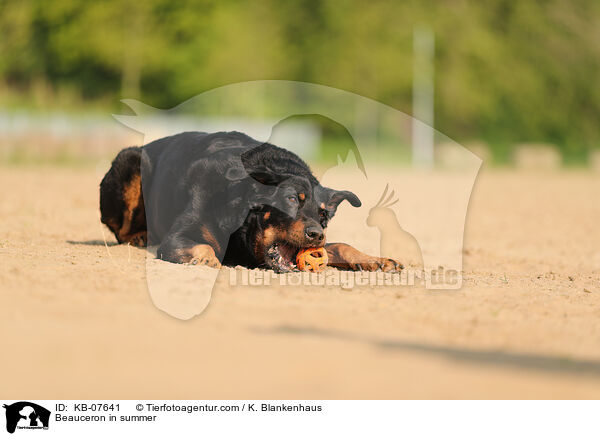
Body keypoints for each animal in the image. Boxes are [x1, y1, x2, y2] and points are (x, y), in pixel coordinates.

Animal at [101, 131, 404, 270]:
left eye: (324, 215)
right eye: (291, 199)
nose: (317, 234)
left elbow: (341, 245)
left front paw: (376, 260)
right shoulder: (177, 237)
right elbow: (203, 246)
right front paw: (207, 259)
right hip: (129, 160)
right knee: (120, 229)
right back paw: (139, 236)